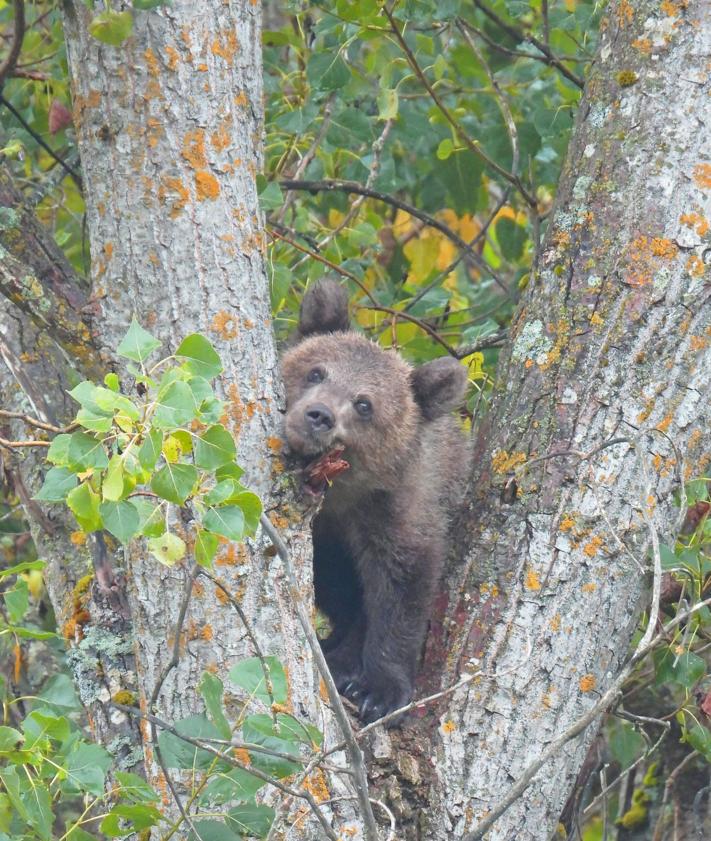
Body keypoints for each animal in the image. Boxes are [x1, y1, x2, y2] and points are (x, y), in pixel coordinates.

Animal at [280, 280, 470, 720]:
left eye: (364, 403)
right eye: (316, 371)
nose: (319, 415)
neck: (342, 494)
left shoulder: (397, 508)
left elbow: (401, 588)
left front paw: (379, 690)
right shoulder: (329, 530)